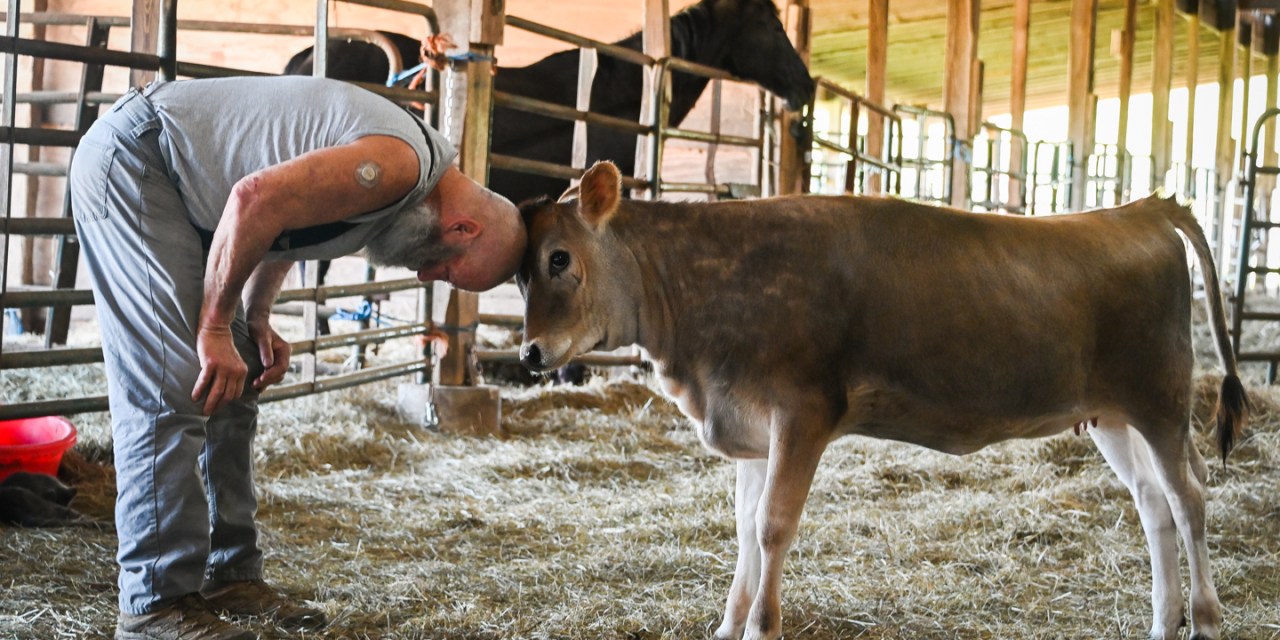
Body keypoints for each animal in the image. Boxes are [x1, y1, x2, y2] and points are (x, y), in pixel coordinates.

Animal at [515, 161, 1249, 640]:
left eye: (559, 258)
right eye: (519, 272)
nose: (529, 355)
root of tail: (1138, 209)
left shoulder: (802, 412)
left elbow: (772, 526)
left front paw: (761, 626)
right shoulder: (746, 421)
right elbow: (745, 531)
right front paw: (728, 625)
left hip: (1160, 398)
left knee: (1189, 496)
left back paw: (1206, 621)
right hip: (1110, 413)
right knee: (1153, 503)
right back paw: (1163, 621)